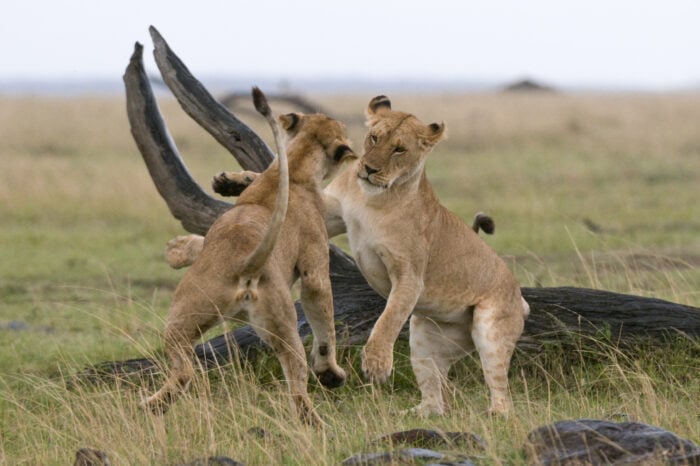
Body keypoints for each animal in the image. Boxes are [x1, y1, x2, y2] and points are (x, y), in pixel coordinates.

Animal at [143, 85, 352, 424]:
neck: (295, 167)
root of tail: (245, 267)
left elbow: (201, 242)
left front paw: (174, 250)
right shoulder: (315, 260)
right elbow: (323, 317)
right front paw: (331, 373)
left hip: (182, 316)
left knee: (185, 369)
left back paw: (152, 405)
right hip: (279, 325)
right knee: (297, 382)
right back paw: (317, 423)